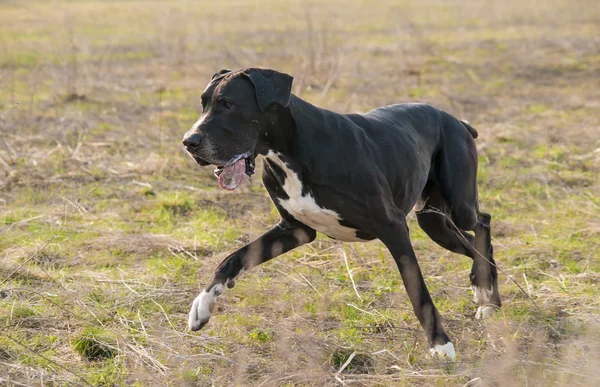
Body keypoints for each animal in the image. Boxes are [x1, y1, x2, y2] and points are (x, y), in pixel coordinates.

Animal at [180, 67, 500, 360]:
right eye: (203, 103)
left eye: (228, 104)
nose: (188, 142)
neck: (290, 151)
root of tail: (456, 120)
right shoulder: (294, 230)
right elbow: (232, 259)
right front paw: (202, 305)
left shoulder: (394, 227)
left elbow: (417, 290)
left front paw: (440, 344)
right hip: (434, 222)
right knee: (473, 244)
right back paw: (486, 294)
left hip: (458, 205)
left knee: (482, 222)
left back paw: (485, 292)